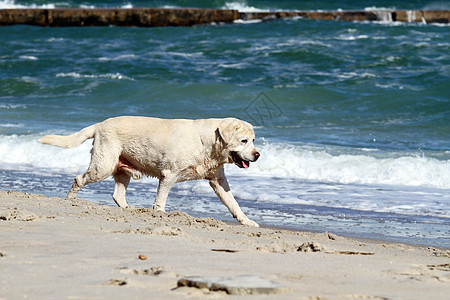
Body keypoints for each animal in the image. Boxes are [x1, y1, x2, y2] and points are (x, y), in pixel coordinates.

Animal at [41, 116, 262, 226]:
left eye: (253, 140)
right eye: (244, 141)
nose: (258, 154)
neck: (208, 143)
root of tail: (99, 124)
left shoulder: (218, 180)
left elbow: (233, 203)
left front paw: (246, 220)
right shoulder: (169, 174)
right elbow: (161, 199)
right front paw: (160, 213)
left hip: (121, 169)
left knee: (117, 194)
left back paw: (129, 209)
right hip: (102, 166)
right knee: (79, 179)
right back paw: (70, 200)